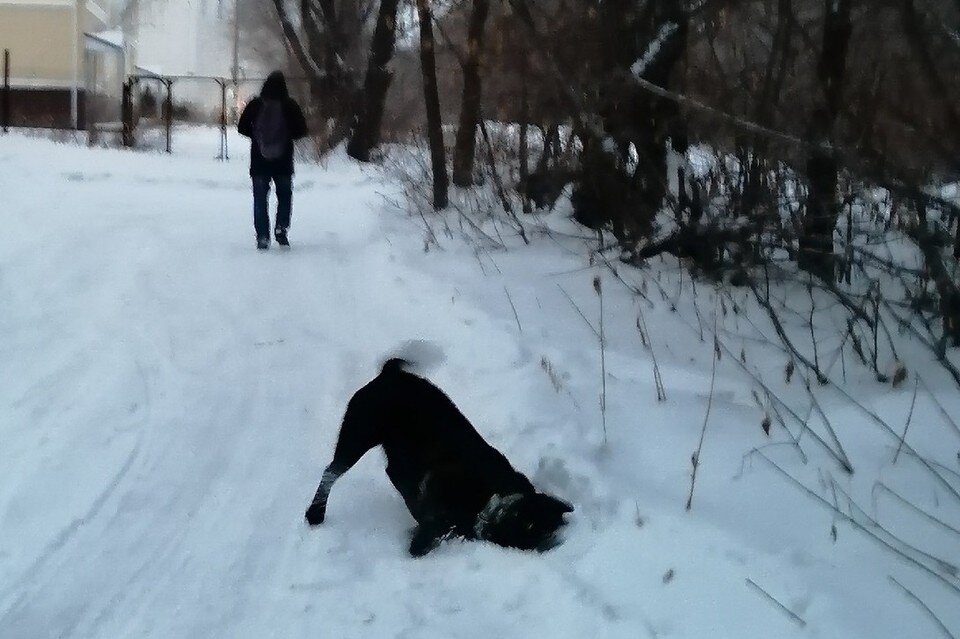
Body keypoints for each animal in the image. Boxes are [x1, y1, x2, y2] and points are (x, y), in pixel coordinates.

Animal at [306, 358, 568, 556]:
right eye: (532, 527)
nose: (547, 546)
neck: (497, 498)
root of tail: (390, 374)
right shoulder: (438, 483)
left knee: (392, 475)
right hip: (357, 436)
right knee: (331, 472)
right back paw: (315, 514)